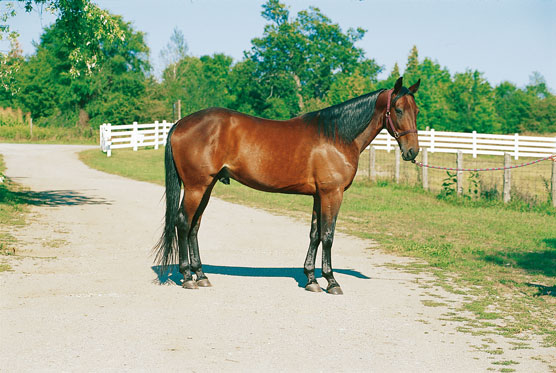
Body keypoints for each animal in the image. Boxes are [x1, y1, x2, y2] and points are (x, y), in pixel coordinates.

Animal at [154, 75, 420, 292]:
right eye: (397, 110)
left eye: (416, 110)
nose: (412, 152)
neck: (336, 136)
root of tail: (179, 124)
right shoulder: (332, 194)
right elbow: (328, 235)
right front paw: (331, 281)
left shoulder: (318, 195)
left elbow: (314, 234)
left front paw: (311, 279)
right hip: (196, 187)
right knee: (183, 222)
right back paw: (187, 276)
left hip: (206, 187)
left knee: (194, 226)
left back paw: (201, 275)